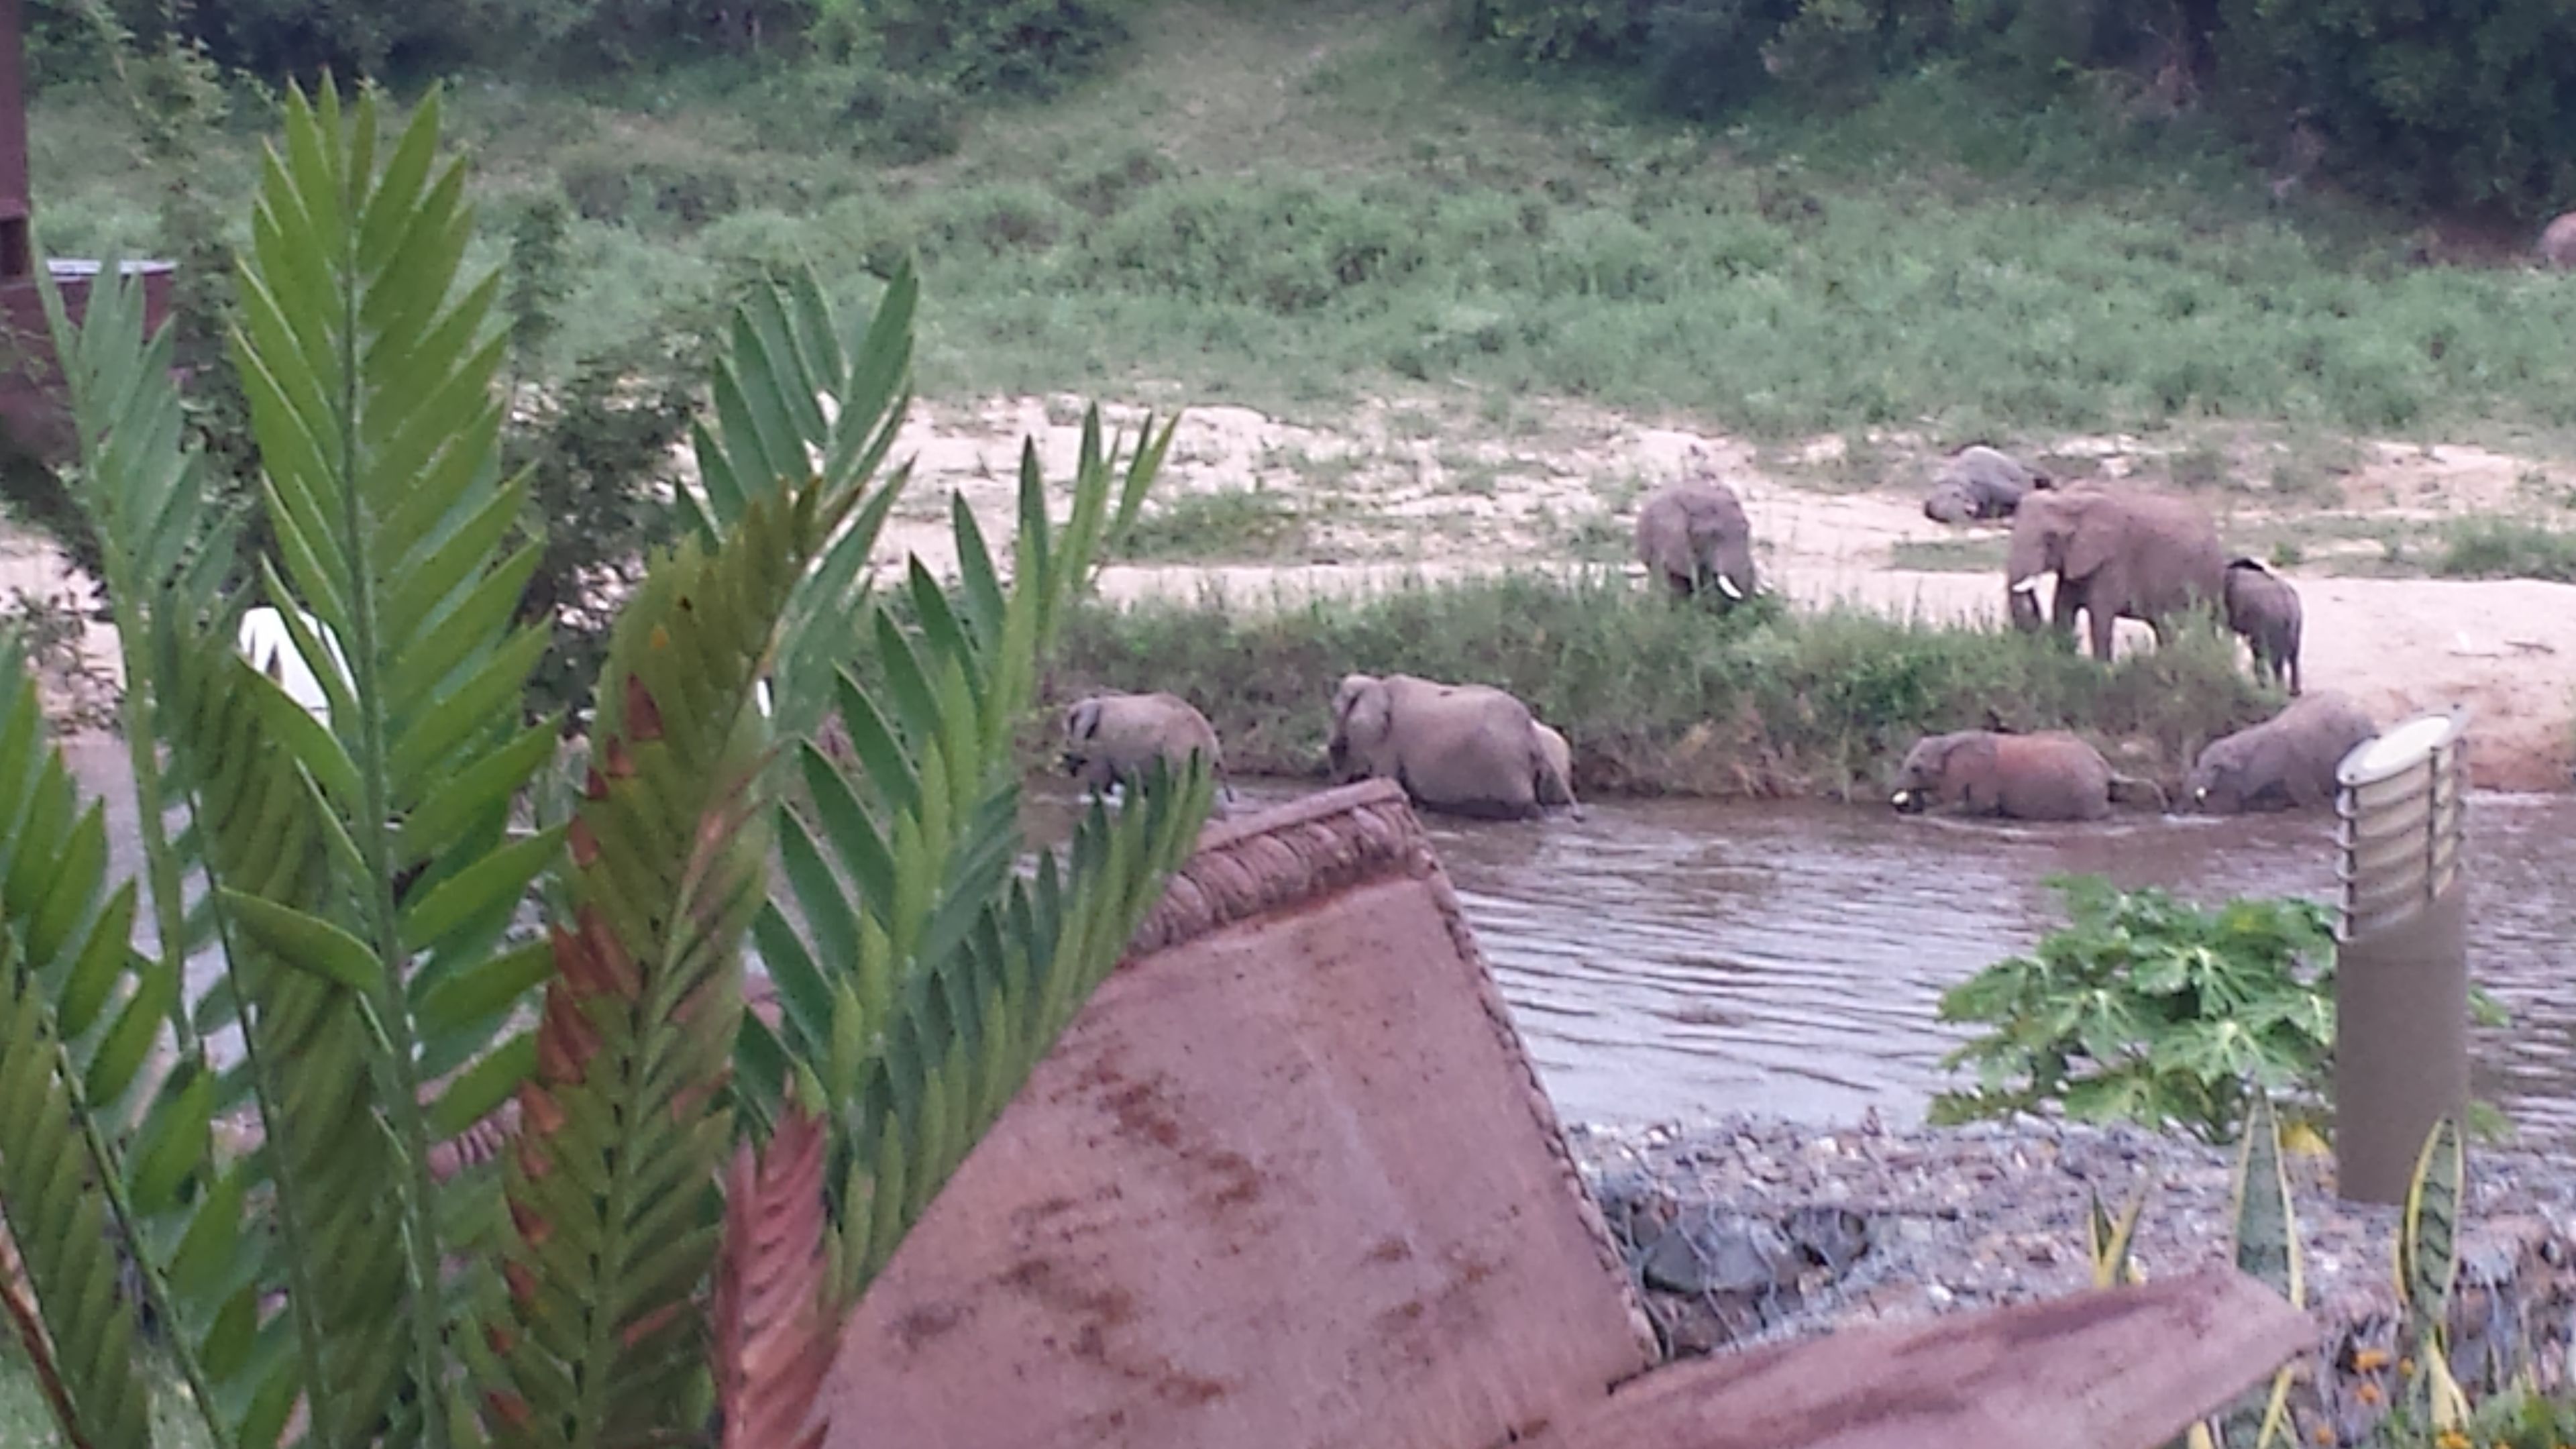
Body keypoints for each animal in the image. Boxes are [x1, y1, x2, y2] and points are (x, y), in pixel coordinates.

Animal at [1060, 691, 1234, 815]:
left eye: (1069, 731)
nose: (1067, 761)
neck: (1097, 702)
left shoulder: (1101, 744)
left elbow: (1098, 783)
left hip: (1181, 755)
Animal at [1328, 672, 1577, 820]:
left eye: (1334, 711)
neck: (1377, 684)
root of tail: (1528, 729)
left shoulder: (1389, 742)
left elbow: (1387, 779)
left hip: (1504, 764)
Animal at [1888, 729, 2166, 822]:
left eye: (1916, 769)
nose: (1903, 805)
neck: (1949, 740)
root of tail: (2106, 766)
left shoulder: (1985, 776)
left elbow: (1978, 807)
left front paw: (1927, 814)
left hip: (2088, 794)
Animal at [2004, 487, 2228, 662]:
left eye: (2050, 537)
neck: (2070, 497)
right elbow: (2063, 609)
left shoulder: (2113, 557)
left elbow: (2100, 616)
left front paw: (2100, 671)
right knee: (2163, 626)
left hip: (2211, 572)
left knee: (2208, 621)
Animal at [2222, 558, 2303, 695]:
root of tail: (2288, 603)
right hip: (2297, 622)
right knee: (2293, 654)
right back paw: (2294, 692)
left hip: (2272, 622)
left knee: (2273, 656)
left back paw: (2276, 691)